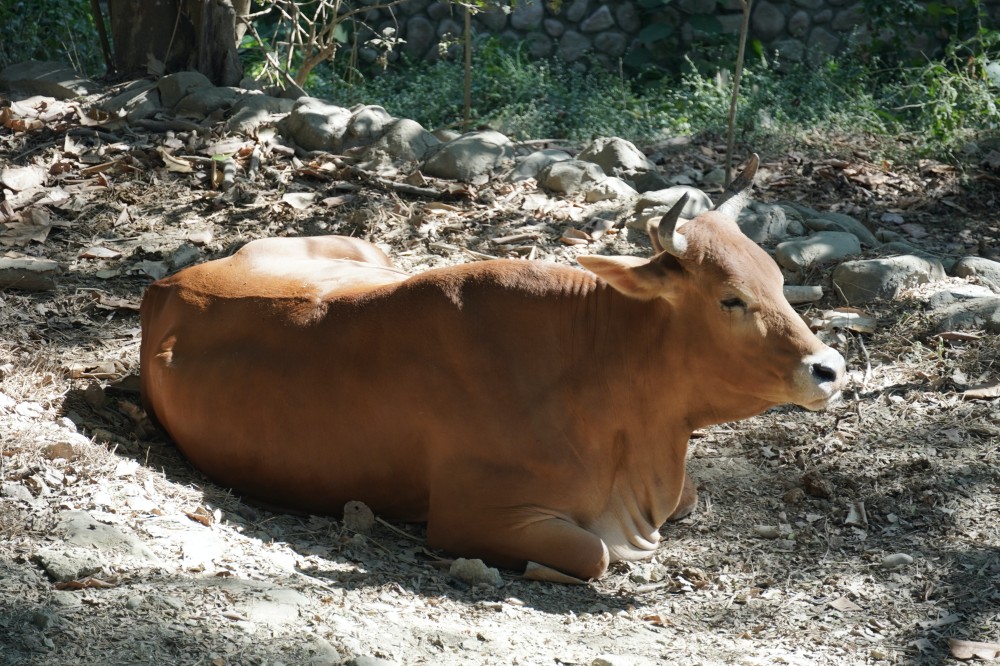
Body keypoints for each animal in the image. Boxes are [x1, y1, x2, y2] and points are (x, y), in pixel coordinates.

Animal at [141, 153, 844, 580]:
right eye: (731, 298)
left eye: (779, 279)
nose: (829, 368)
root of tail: (169, 283)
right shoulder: (468, 516)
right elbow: (594, 552)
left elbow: (691, 496)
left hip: (368, 247)